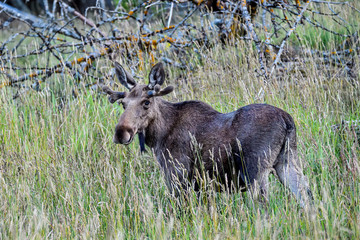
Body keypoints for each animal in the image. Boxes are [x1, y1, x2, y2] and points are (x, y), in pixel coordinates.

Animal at [102, 61, 314, 206]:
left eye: (146, 102)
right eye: (123, 103)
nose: (121, 133)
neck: (158, 136)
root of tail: (287, 120)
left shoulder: (177, 175)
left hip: (256, 170)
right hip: (287, 161)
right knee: (307, 196)